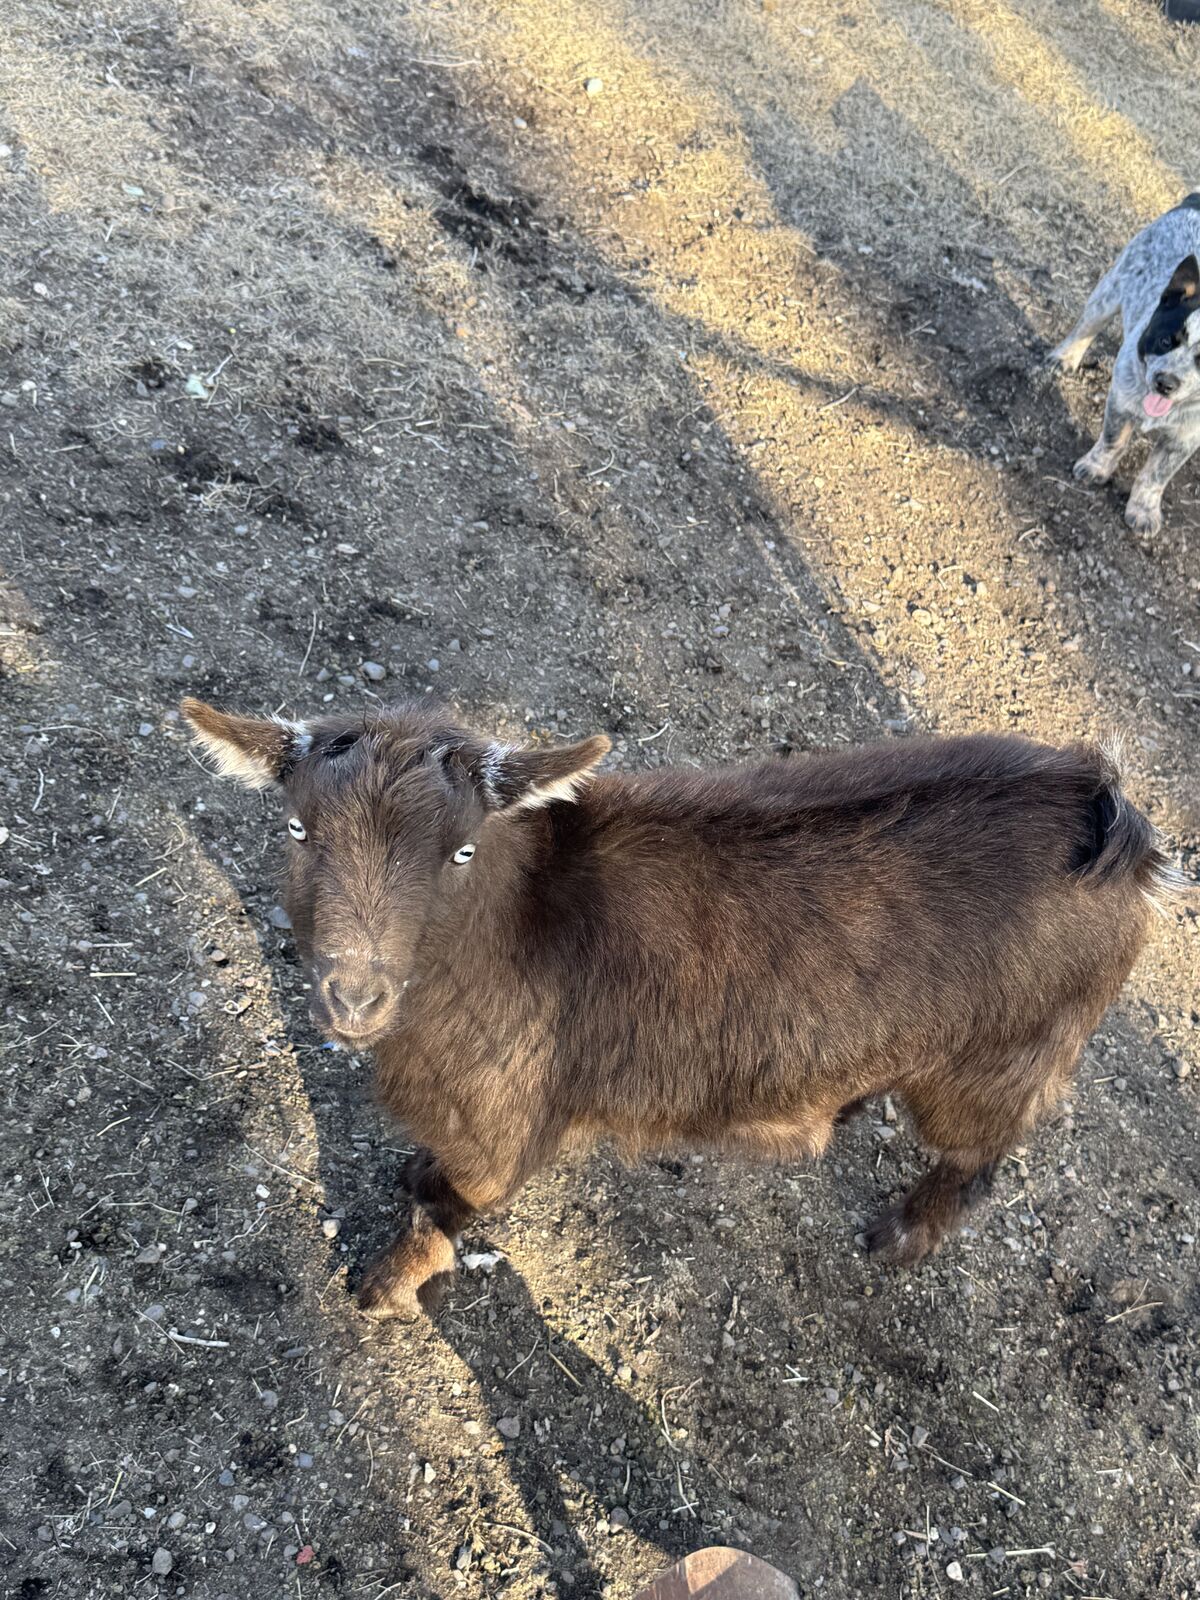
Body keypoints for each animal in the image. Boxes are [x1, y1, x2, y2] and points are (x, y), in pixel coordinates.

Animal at [182, 698, 1179, 1318]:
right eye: (298, 828)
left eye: (462, 851)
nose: (355, 997)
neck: (522, 920)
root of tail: (1111, 819)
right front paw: (407, 1181)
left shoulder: (502, 1127)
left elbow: (448, 1213)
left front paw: (384, 1290)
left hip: (998, 1058)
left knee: (980, 1158)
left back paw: (899, 1237)